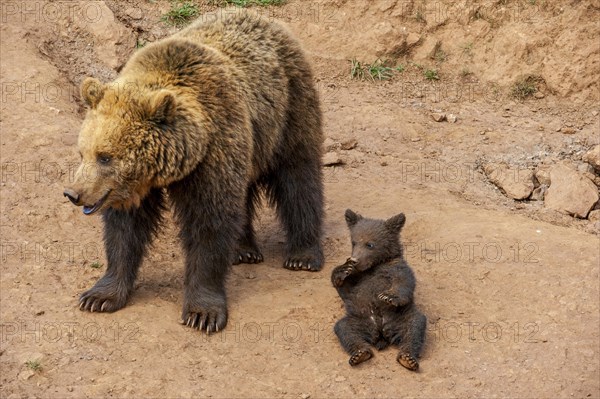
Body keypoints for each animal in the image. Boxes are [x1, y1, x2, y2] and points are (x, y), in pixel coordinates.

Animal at [63, 9, 324, 334]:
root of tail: (262, 17)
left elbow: (209, 223)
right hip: (252, 143)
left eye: (105, 157)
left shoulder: (213, 154)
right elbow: (125, 230)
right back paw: (243, 249)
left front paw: (203, 313)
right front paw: (99, 296)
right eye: (82, 152)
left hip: (289, 108)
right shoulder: (136, 189)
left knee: (298, 176)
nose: (73, 193)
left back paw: (303, 254)